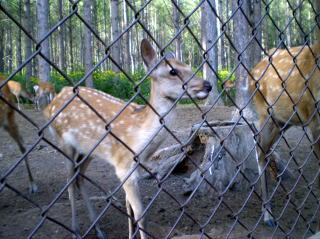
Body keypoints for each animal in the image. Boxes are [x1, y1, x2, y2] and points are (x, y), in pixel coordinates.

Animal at [43, 39, 212, 239]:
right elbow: (140, 214)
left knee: (79, 177)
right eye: (173, 71)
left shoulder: (135, 167)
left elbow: (128, 207)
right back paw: (76, 230)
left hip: (88, 151)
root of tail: (50, 105)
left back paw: (98, 229)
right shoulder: (123, 165)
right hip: (63, 141)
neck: (140, 136)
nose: (208, 85)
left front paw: (131, 235)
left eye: (188, 65)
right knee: (69, 182)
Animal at [249, 39, 320, 228]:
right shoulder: (315, 117)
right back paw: (267, 214)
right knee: (259, 150)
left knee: (264, 149)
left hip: (284, 120)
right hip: (265, 113)